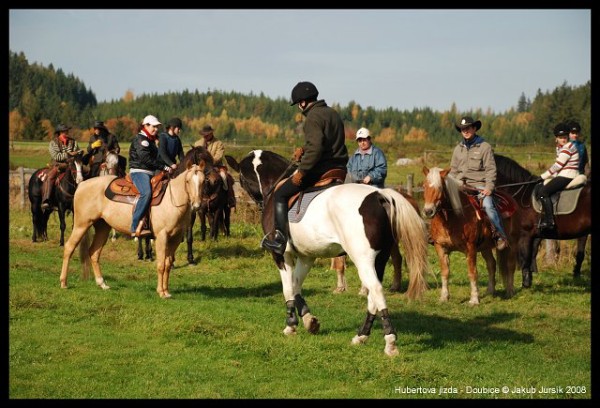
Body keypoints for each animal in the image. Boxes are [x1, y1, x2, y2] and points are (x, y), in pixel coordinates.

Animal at [60, 161, 207, 298]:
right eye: (187, 181)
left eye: (203, 181)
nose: (197, 205)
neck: (172, 200)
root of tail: (82, 185)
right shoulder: (162, 237)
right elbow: (161, 265)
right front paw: (161, 292)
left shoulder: (175, 238)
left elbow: (168, 264)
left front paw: (166, 291)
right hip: (81, 225)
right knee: (69, 247)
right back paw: (63, 283)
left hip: (102, 228)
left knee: (94, 253)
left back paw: (102, 284)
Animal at [227, 151, 428, 356]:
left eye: (242, 179)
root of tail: (380, 196)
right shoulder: (307, 256)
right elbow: (296, 285)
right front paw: (309, 321)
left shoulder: (281, 255)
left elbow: (288, 288)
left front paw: (291, 325)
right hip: (380, 258)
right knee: (373, 296)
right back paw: (361, 336)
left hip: (363, 259)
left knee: (376, 290)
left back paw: (390, 343)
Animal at [422, 167, 520, 306]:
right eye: (424, 186)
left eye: (440, 187)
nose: (428, 211)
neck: (453, 218)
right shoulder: (440, 247)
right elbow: (445, 272)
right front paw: (444, 297)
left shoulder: (470, 248)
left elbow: (472, 272)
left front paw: (474, 300)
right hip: (485, 247)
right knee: (491, 264)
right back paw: (490, 291)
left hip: (512, 243)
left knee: (510, 265)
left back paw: (510, 291)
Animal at [492, 155, 592, 286]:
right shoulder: (535, 234)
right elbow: (532, 253)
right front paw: (530, 278)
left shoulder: (525, 233)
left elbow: (525, 255)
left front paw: (526, 283)